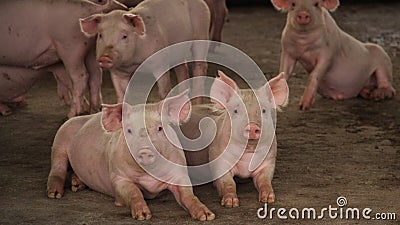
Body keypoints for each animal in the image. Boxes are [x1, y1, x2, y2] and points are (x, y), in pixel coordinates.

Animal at [46, 92, 216, 221]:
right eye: (129, 130)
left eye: (160, 128)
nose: (145, 151)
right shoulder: (118, 177)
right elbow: (134, 192)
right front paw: (143, 216)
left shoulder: (179, 173)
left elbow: (188, 195)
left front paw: (207, 216)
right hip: (59, 141)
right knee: (57, 168)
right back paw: (54, 194)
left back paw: (76, 185)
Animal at [183, 71, 290, 207]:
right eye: (235, 110)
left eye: (264, 110)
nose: (252, 126)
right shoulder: (219, 159)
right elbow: (228, 183)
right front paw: (231, 203)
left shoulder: (268, 161)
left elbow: (265, 180)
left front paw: (268, 199)